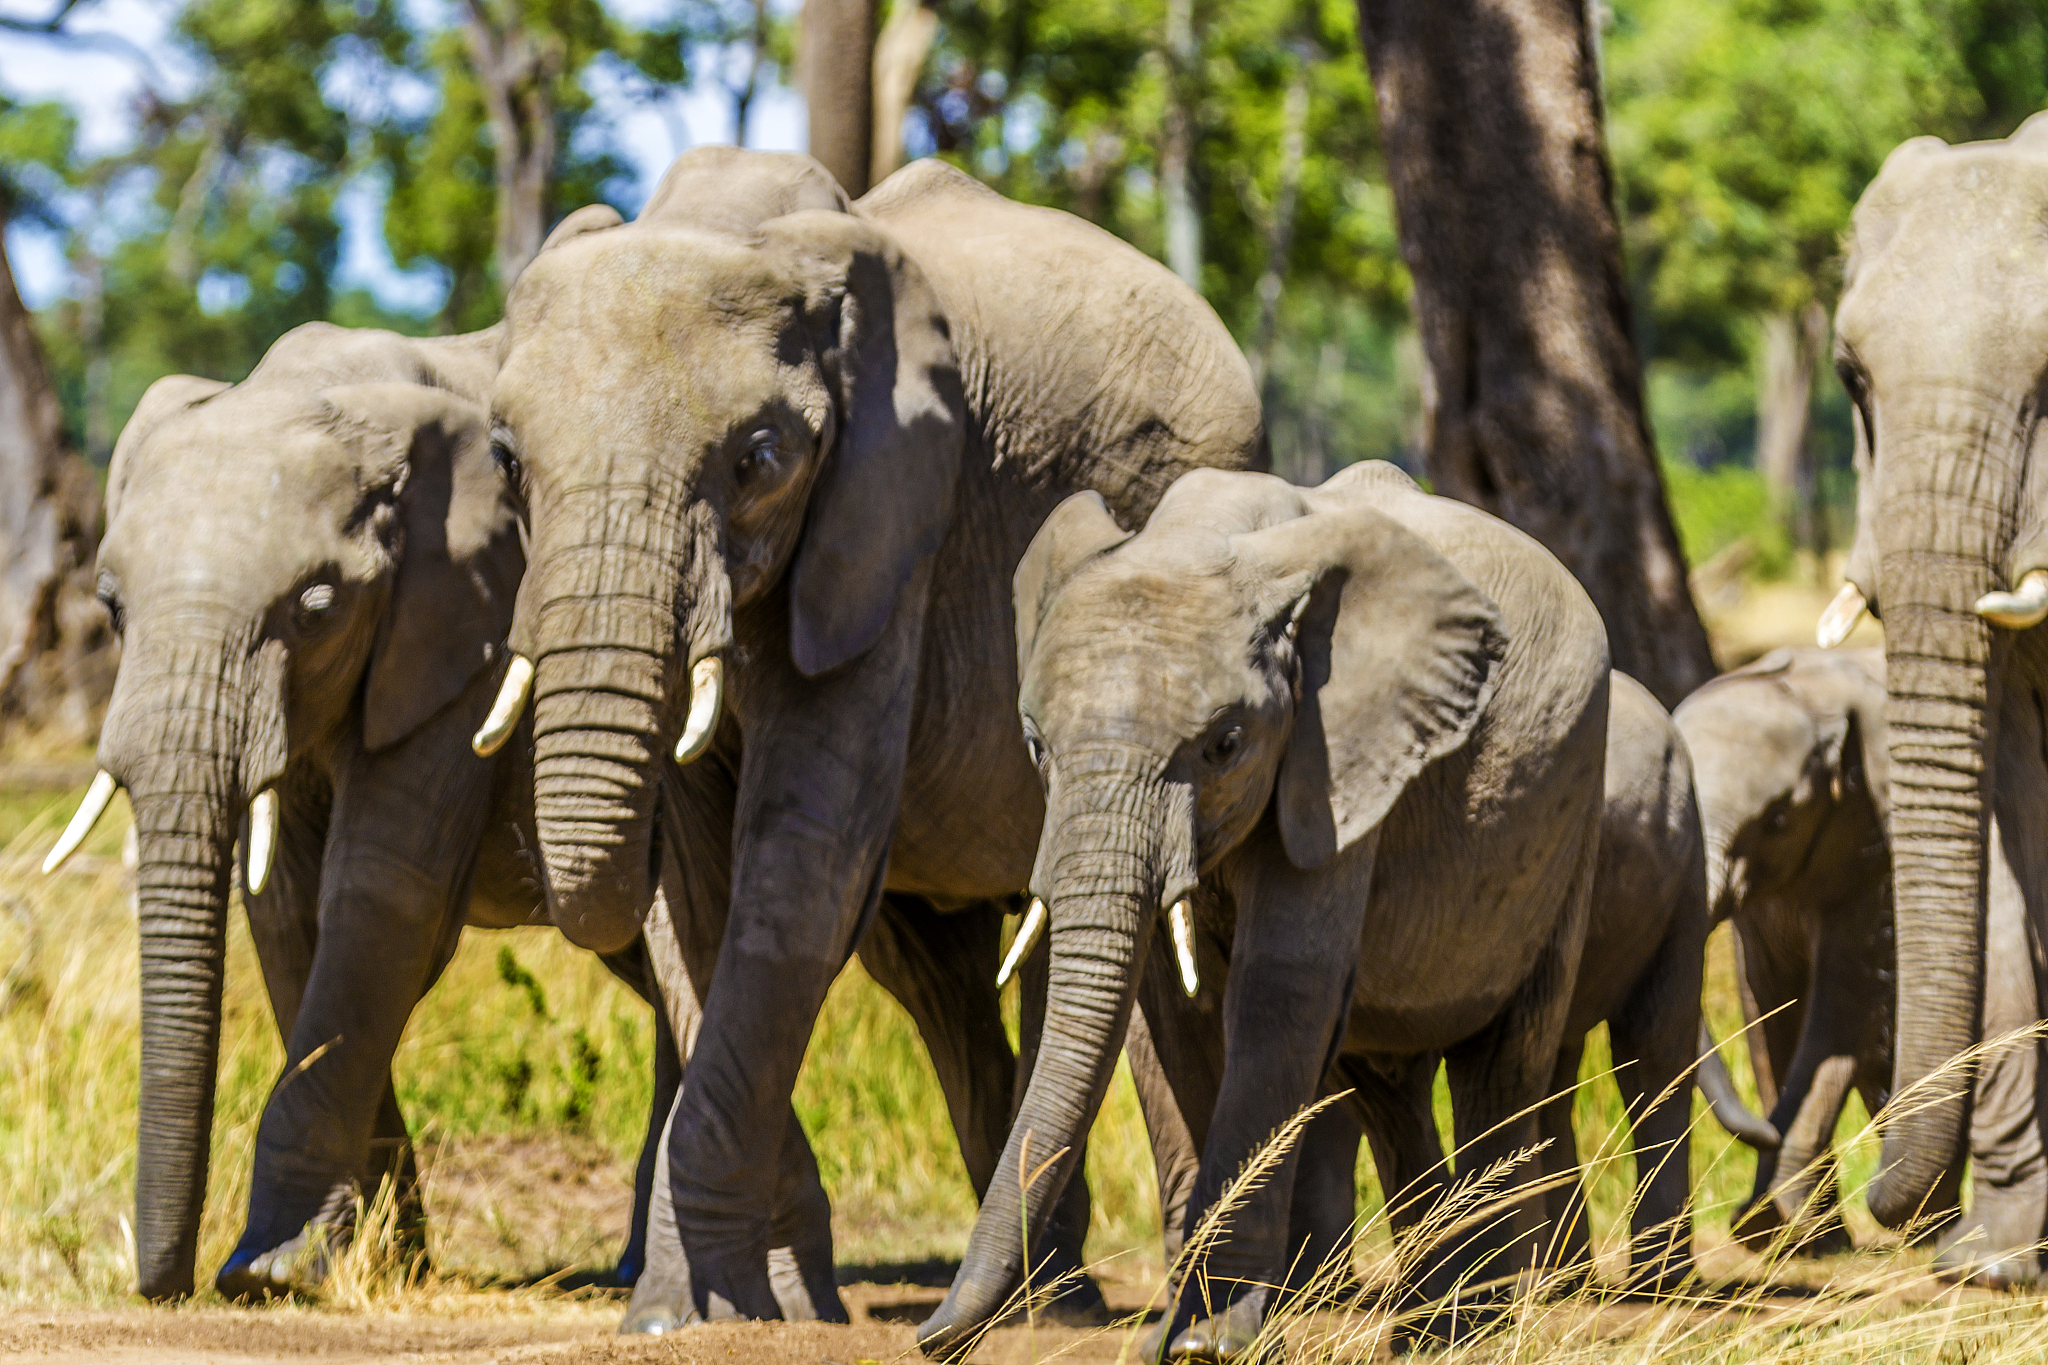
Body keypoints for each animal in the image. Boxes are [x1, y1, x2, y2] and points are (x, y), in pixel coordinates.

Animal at [52, 320, 763, 1301]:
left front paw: (272, 1268)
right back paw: (629, 1268)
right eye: (112, 606)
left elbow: (381, 897)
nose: (165, 1283)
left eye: (316, 608)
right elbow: (288, 919)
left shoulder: (470, 632)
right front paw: (384, 1255)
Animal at [475, 145, 1267, 1326]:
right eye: (506, 460)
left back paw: (1087, 1303)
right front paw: (731, 1305)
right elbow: (692, 892)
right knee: (936, 974)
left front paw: (694, 1310)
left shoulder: (895, 525)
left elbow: (800, 859)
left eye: (759, 457)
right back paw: (1044, 1294)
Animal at [920, 460, 1612, 1361]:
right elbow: (1171, 1012)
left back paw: (1474, 1327)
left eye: (1225, 745)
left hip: (1571, 816)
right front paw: (1178, 1334)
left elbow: (1280, 985)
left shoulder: (1339, 754)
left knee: (1503, 1064)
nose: (929, 1335)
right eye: (1035, 743)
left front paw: (1208, 1342)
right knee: (1388, 1085)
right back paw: (1427, 1320)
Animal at [1677, 646, 2036, 1267]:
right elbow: (1767, 1003)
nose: (1763, 1132)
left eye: (1777, 820)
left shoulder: (1873, 849)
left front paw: (1771, 1226)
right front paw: (1785, 1236)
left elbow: (1843, 1003)